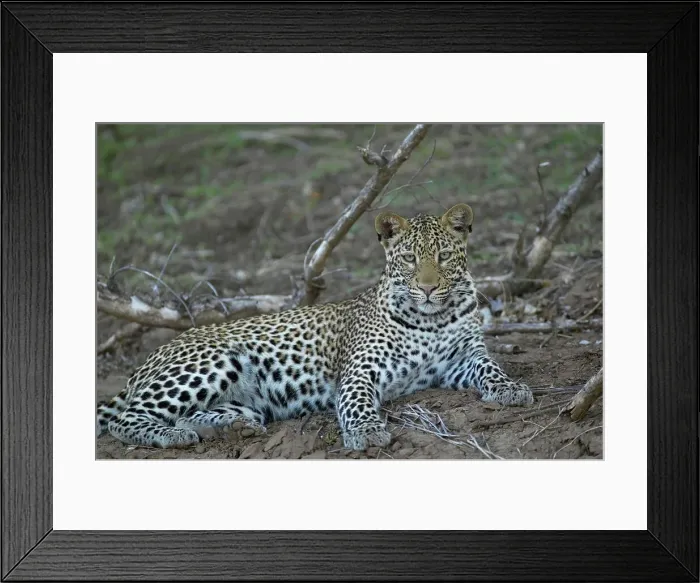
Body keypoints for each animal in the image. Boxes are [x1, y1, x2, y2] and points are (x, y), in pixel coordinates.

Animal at [96, 203, 534, 451]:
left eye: (443, 256)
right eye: (409, 258)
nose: (427, 288)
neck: (432, 318)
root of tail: (147, 361)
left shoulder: (463, 357)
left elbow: (490, 366)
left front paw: (510, 388)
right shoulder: (359, 370)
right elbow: (356, 401)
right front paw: (366, 432)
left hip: (243, 398)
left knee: (189, 416)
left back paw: (232, 427)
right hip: (211, 363)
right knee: (127, 419)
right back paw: (171, 437)